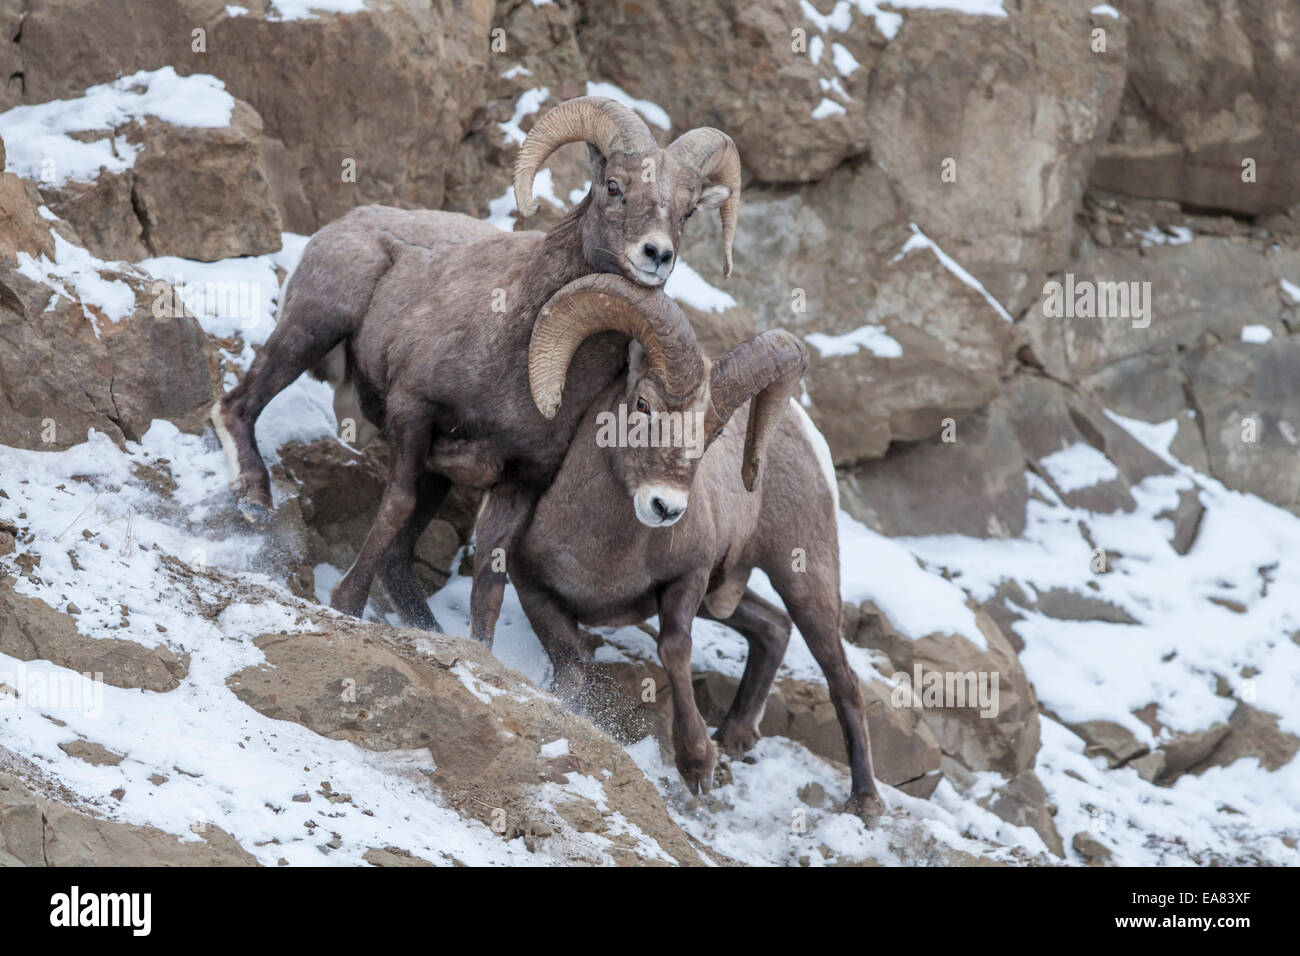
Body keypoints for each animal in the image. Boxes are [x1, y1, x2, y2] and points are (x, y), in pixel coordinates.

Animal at [210, 97, 742, 632]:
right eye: (614, 185)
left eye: (688, 211)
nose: (657, 254)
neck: (518, 366)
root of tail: (345, 223)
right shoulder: (412, 413)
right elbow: (395, 506)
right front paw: (347, 603)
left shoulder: (520, 481)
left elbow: (489, 582)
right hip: (315, 325)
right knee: (238, 405)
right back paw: (254, 499)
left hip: (436, 474)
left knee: (399, 558)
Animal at [468, 273, 886, 822]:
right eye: (643, 404)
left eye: (715, 431)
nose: (666, 508)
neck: (600, 552)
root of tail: (806, 434)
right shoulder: (535, 589)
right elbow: (572, 668)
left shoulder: (687, 579)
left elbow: (673, 648)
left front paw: (696, 765)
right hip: (729, 596)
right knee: (774, 627)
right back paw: (735, 736)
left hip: (804, 575)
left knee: (842, 679)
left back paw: (864, 799)